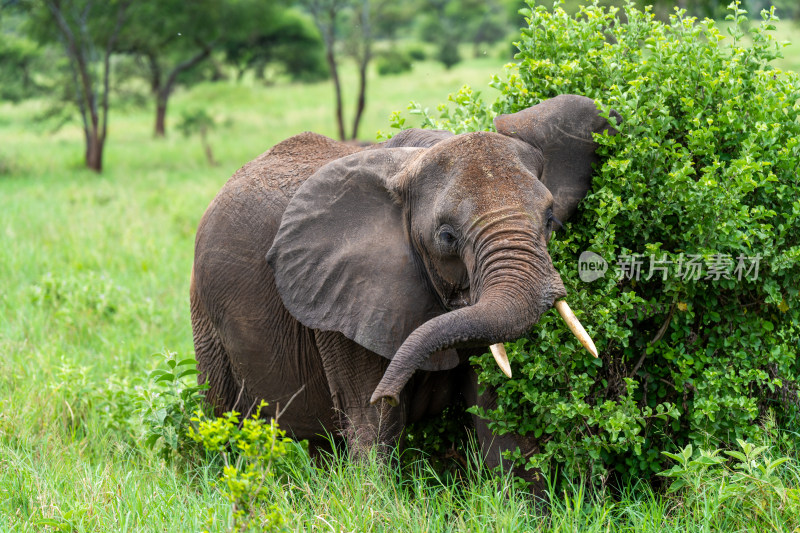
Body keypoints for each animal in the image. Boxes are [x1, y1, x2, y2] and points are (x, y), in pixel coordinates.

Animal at [192, 92, 620, 478]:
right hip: (204, 310)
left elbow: (494, 420)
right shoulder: (343, 304)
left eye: (549, 219)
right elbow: (372, 427)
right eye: (446, 237)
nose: (389, 388)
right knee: (219, 417)